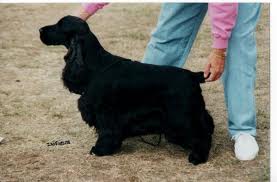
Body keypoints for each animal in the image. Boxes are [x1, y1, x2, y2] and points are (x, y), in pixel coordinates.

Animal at [39, 15, 213, 165]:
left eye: (60, 25)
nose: (40, 30)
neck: (95, 65)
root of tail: (193, 75)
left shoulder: (105, 112)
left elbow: (107, 132)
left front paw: (99, 150)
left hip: (182, 117)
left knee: (201, 135)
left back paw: (197, 157)